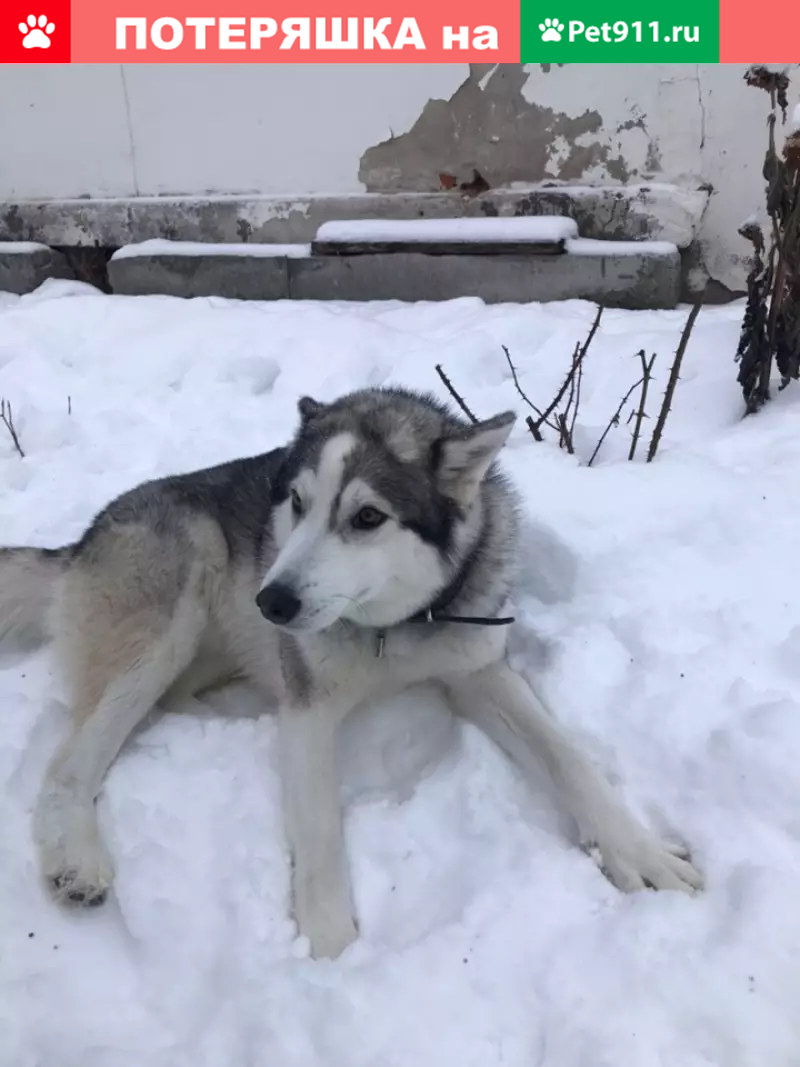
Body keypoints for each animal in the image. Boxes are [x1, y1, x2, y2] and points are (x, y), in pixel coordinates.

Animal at [0, 388, 699, 956]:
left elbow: (567, 758)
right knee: (71, 762)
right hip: (170, 612)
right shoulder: (311, 708)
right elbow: (318, 829)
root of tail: (79, 542)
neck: (394, 631)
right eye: (297, 503)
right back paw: (75, 858)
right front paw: (332, 945)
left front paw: (638, 851)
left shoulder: (479, 668)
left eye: (368, 517)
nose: (271, 602)